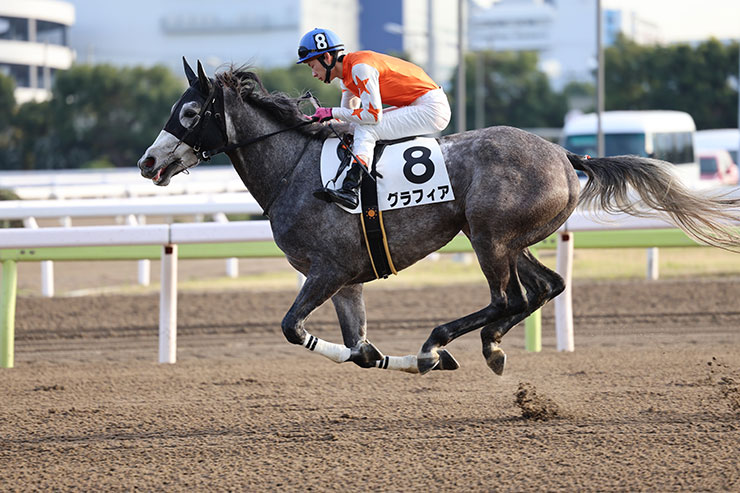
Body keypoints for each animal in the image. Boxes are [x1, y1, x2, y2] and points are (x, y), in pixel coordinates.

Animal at [138, 59, 740, 376]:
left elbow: (292, 328)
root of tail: (567, 155)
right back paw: (486, 345)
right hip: (511, 239)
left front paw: (425, 357)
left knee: (507, 298)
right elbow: (359, 351)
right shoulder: (346, 280)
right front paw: (389, 356)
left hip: (488, 236)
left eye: (187, 112)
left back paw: (443, 343)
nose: (148, 162)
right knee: (545, 287)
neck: (294, 169)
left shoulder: (326, 271)